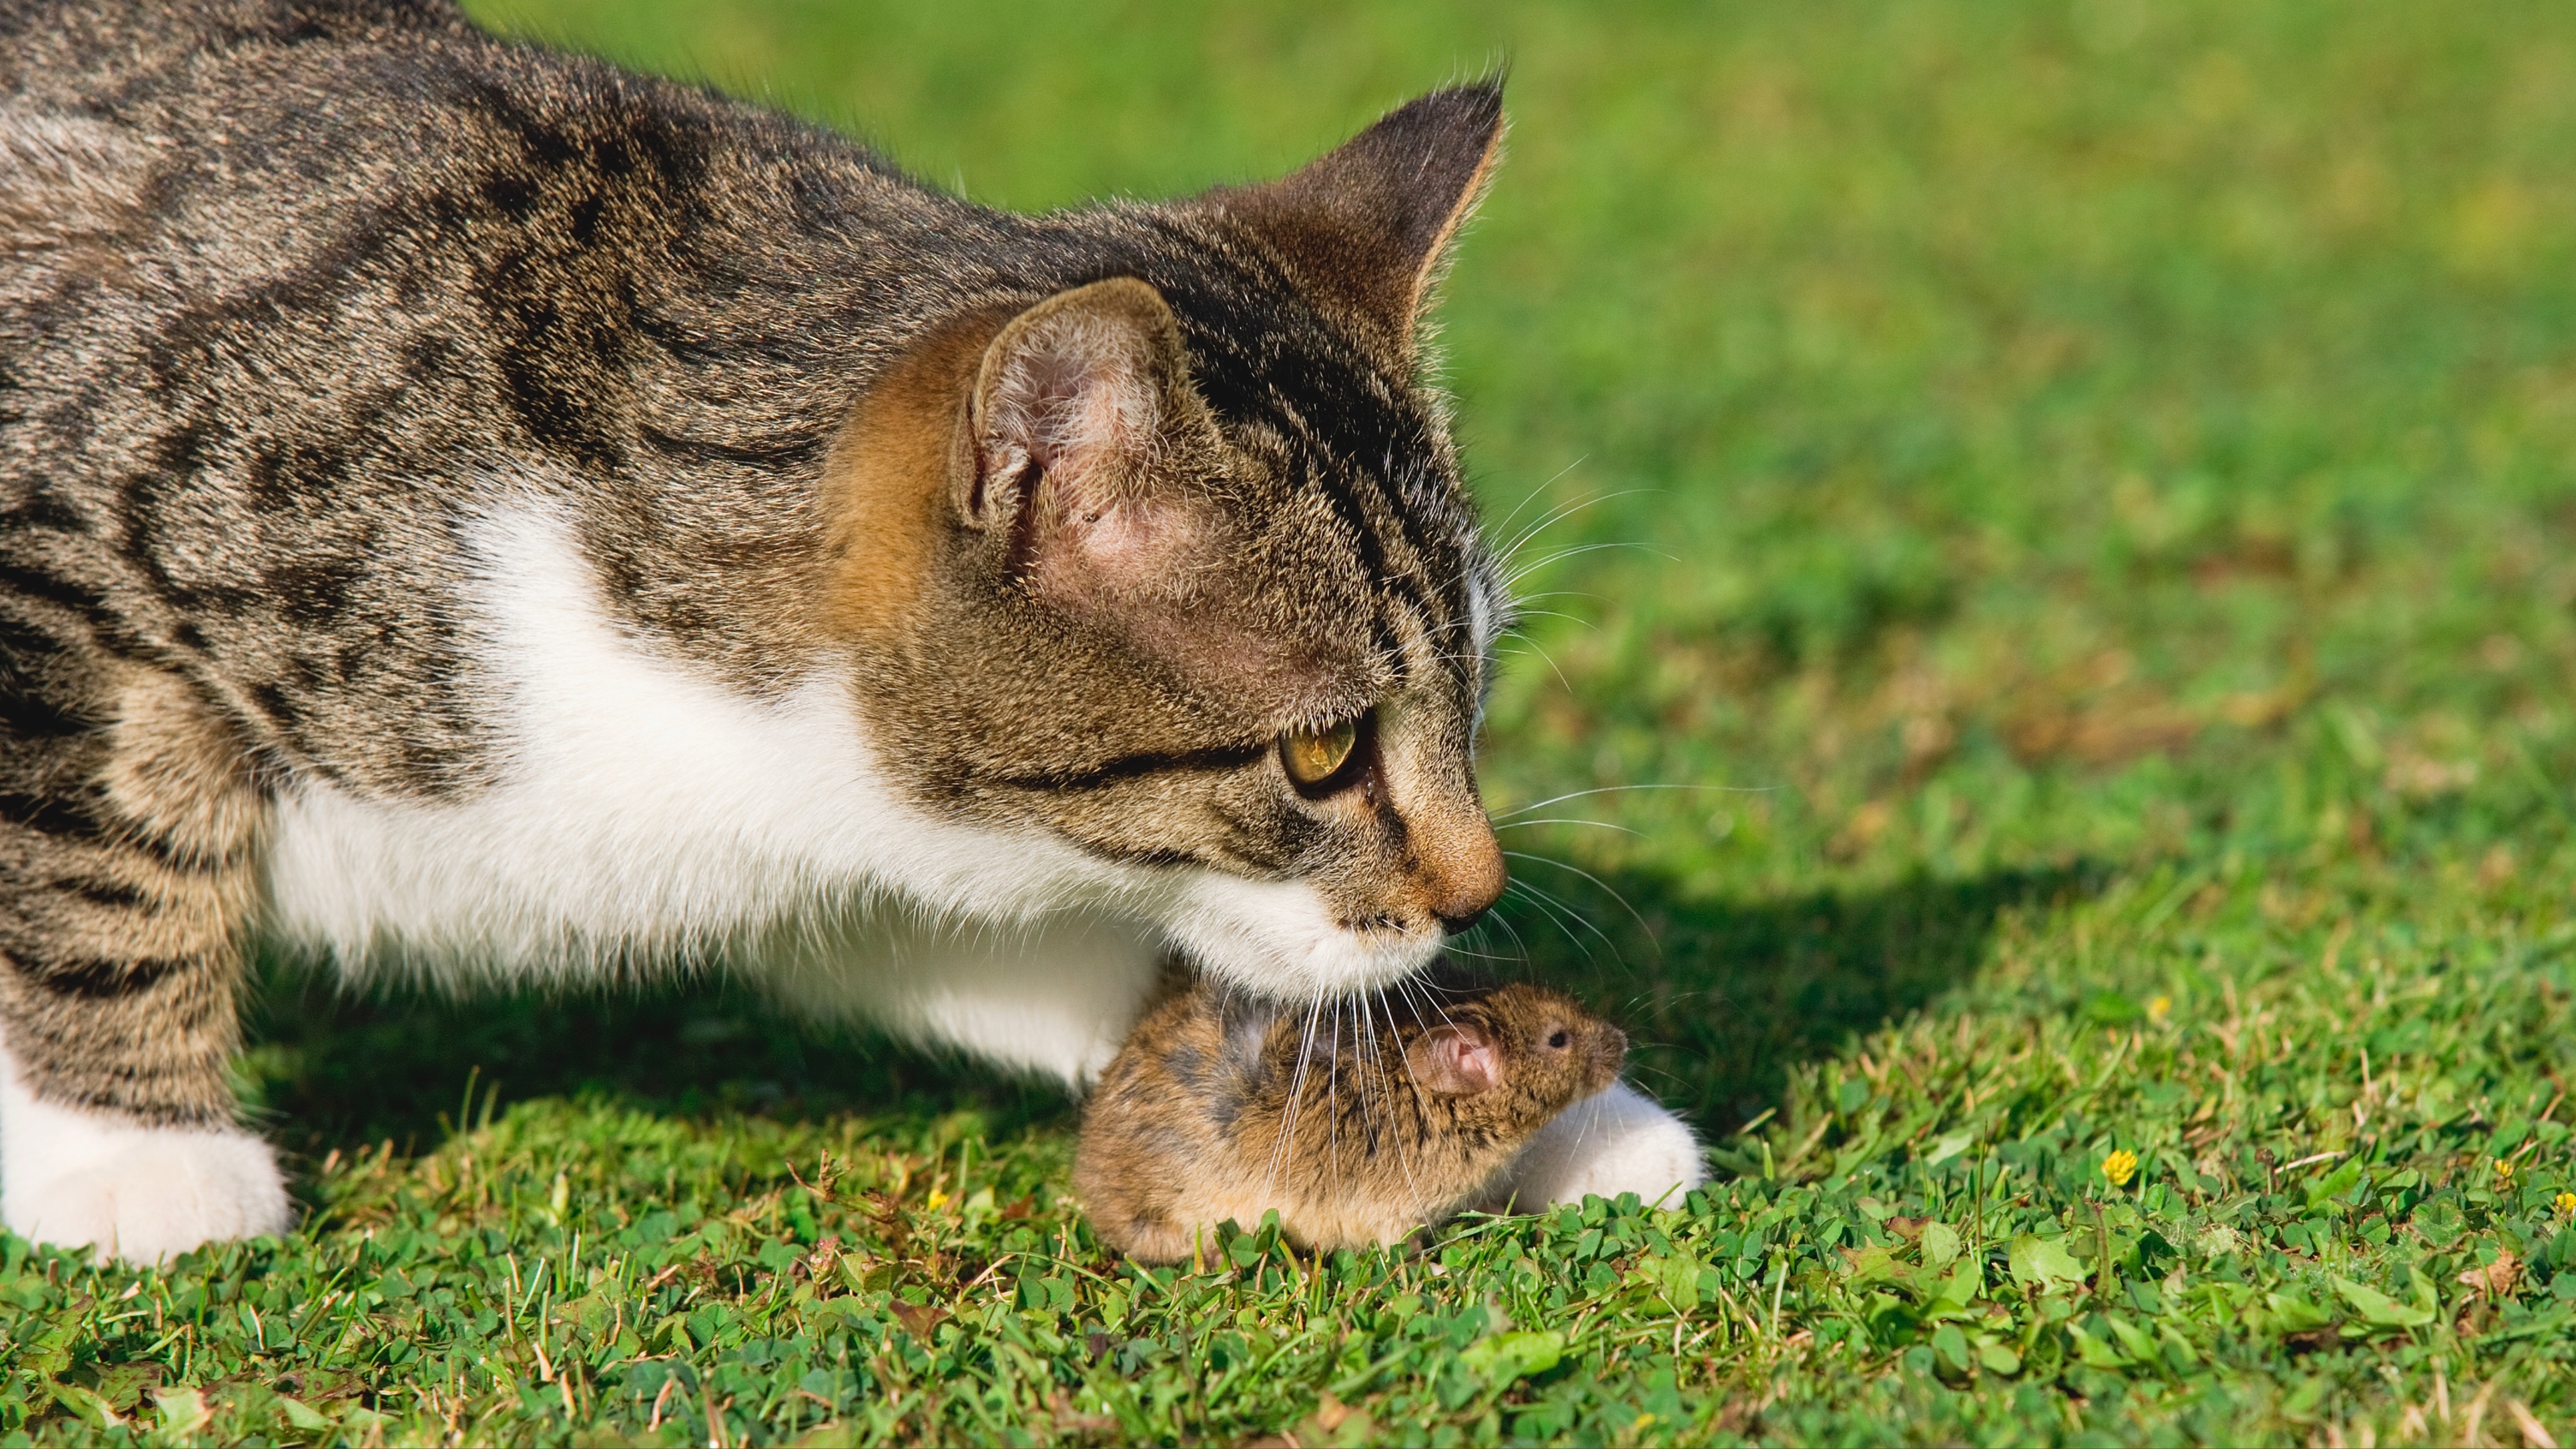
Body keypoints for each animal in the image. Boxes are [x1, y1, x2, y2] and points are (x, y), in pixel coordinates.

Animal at [0, 0, 1710, 1261]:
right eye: (1321, 751)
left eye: (1471, 701)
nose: (1475, 892)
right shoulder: (70, 538)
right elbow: (96, 848)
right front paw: (129, 1151)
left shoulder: (840, 850)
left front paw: (1542, 1106)